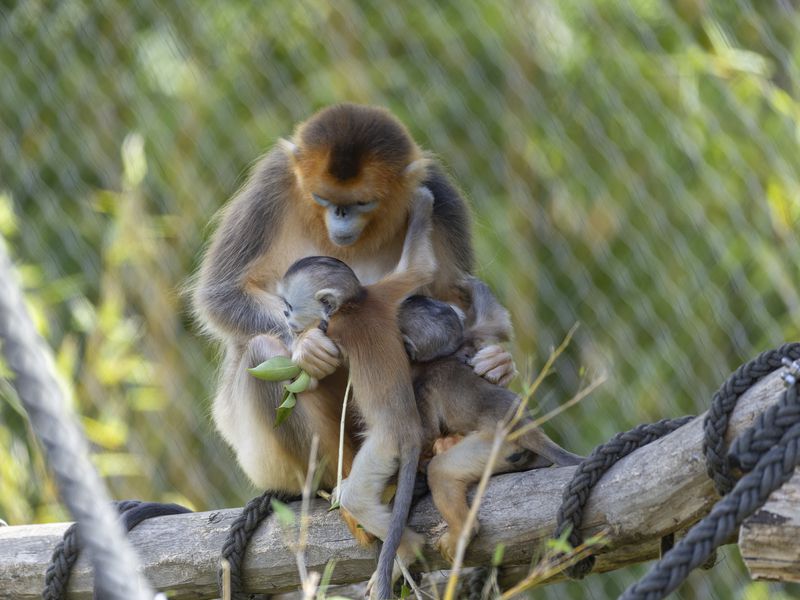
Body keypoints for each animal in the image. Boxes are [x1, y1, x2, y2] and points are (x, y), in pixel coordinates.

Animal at [192, 104, 516, 533]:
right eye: (323, 199)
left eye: (362, 203)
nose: (341, 217)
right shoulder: (272, 183)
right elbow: (219, 294)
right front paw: (309, 348)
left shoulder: (442, 196)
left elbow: (451, 298)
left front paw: (495, 362)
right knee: (262, 350)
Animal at [276, 187, 436, 599]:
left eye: (288, 307)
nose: (286, 319)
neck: (355, 303)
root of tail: (410, 430)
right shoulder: (381, 294)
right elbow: (418, 269)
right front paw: (423, 202)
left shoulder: (335, 328)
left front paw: (301, 349)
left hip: (383, 448)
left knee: (358, 497)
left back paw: (406, 549)